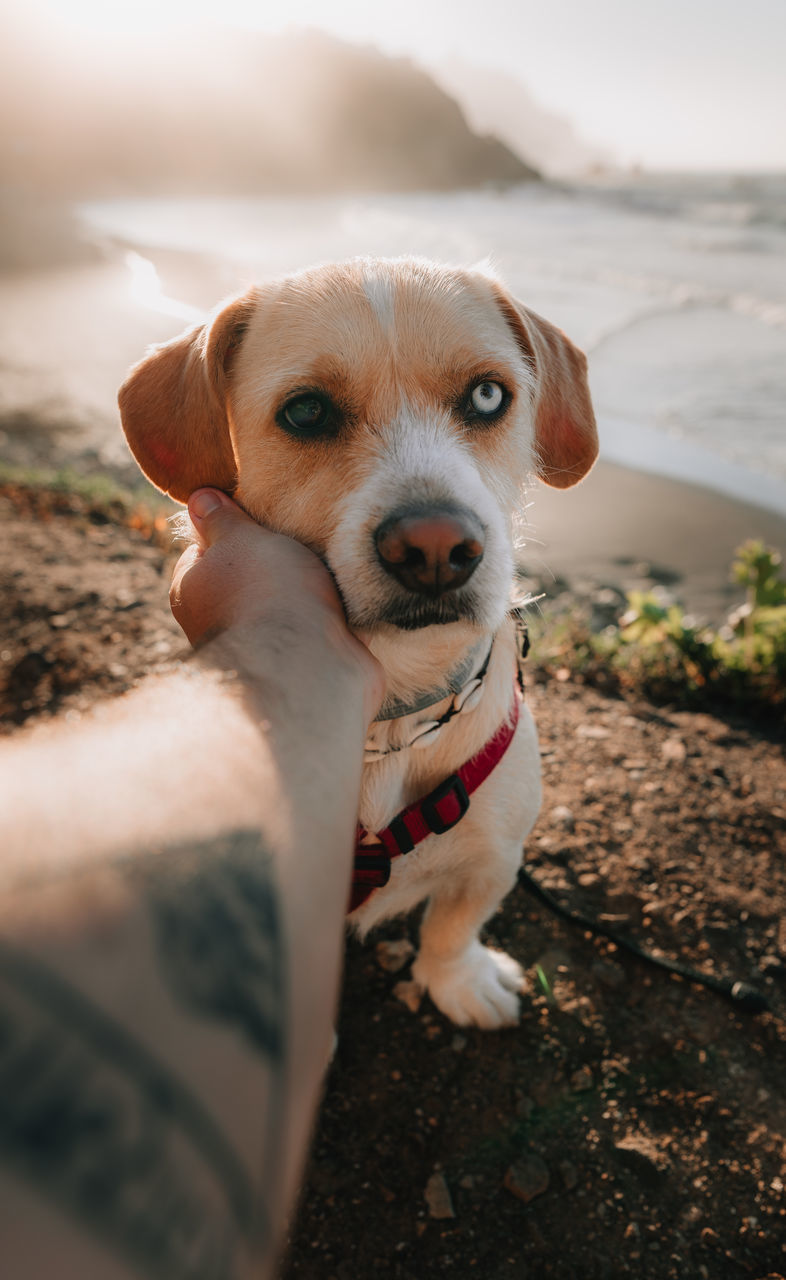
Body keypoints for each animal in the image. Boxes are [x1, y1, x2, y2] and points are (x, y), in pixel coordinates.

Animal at [118, 257, 596, 1029]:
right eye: (306, 412)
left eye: (489, 395)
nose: (437, 547)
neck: (391, 719)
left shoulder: (496, 857)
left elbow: (454, 924)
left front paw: (457, 981)